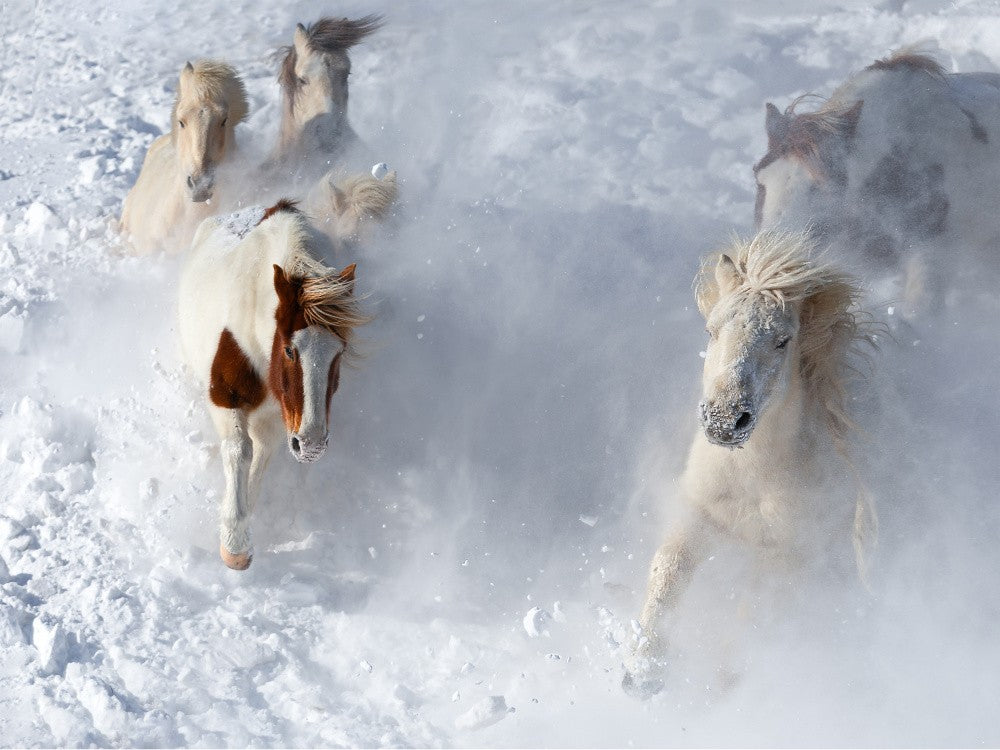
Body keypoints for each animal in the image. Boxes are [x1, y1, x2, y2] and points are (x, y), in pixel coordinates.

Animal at [177, 199, 368, 570]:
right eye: (290, 349)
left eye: (339, 351)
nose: (312, 446)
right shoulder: (224, 399)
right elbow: (240, 450)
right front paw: (234, 548)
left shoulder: (278, 416)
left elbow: (261, 455)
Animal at [623, 230, 878, 697]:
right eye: (710, 329)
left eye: (783, 340)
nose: (725, 420)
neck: (752, 480)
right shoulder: (699, 515)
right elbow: (667, 573)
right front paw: (643, 671)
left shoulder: (788, 554)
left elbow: (752, 619)